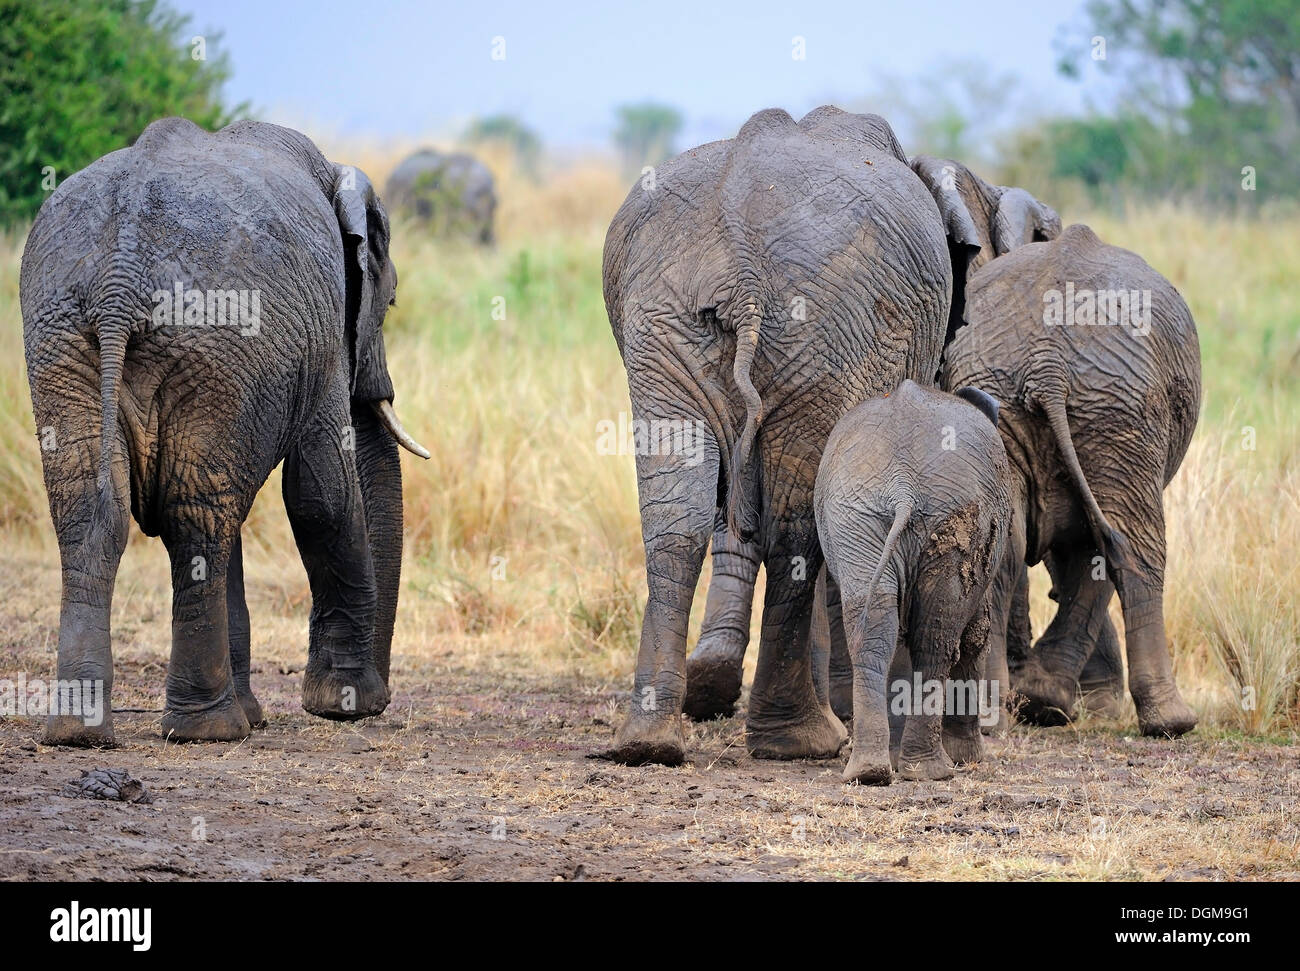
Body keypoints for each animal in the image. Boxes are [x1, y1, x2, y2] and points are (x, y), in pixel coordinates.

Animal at [21, 117, 426, 748]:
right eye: (390, 303)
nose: (381, 701)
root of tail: (118, 279)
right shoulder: (321, 340)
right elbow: (322, 492)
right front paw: (345, 706)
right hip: (211, 338)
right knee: (197, 514)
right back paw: (210, 730)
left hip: (69, 340)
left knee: (98, 508)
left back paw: (80, 733)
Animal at [600, 106, 982, 769]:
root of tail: (735, 249)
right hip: (828, 325)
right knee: (794, 527)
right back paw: (799, 740)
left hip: (667, 322)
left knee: (677, 517)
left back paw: (647, 744)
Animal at [816, 376, 1008, 785]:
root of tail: (902, 486)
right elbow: (975, 634)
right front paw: (968, 757)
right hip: (951, 517)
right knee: (937, 638)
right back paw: (931, 771)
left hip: (854, 516)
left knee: (875, 626)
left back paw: (870, 770)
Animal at [941, 222, 1201, 738]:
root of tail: (1049, 366)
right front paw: (1048, 700)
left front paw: (1040, 700)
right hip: (1122, 409)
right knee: (1135, 545)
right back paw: (1172, 721)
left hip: (1008, 403)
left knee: (1008, 544)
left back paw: (994, 716)